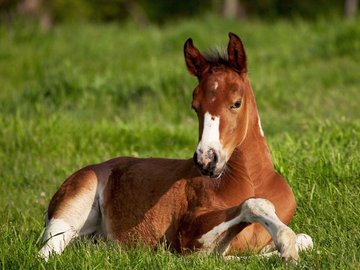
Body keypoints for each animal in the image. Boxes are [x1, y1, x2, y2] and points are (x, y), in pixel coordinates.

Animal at [39, 31, 312, 262]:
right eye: (195, 106)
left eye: (236, 102)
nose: (206, 160)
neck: (252, 180)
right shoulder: (189, 234)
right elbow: (251, 207)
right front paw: (286, 246)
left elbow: (306, 239)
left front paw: (285, 250)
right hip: (69, 211)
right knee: (46, 253)